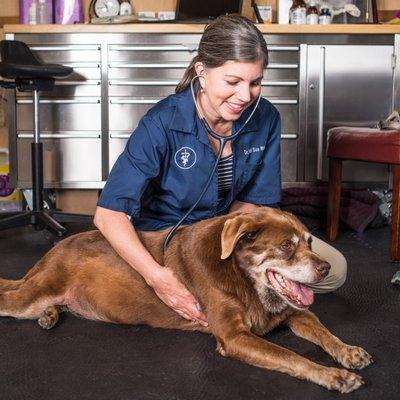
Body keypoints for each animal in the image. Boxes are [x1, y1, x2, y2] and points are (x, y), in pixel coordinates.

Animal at [0, 208, 372, 392]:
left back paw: (50, 315)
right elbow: (292, 356)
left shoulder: (292, 314)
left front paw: (348, 352)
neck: (243, 277)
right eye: (286, 246)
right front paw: (334, 377)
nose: (324, 268)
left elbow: (323, 330)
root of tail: (54, 250)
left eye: (309, 241)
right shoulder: (234, 337)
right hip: (33, 292)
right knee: (9, 296)